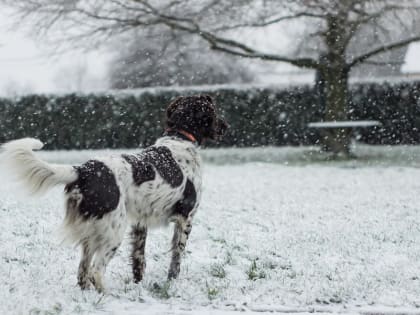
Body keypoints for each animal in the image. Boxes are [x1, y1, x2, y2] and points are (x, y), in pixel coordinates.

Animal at [0, 94, 228, 294]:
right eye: (215, 112)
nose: (226, 127)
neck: (179, 138)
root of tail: (82, 170)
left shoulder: (140, 223)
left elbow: (139, 258)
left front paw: (139, 284)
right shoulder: (186, 218)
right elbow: (176, 258)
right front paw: (172, 283)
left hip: (93, 231)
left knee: (83, 271)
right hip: (114, 229)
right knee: (95, 271)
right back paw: (108, 295)